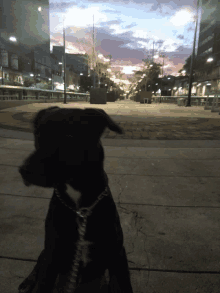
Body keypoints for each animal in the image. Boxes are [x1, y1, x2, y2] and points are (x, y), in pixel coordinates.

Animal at [18, 107, 133, 292]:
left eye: (69, 136)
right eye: (37, 134)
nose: (24, 171)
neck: (80, 209)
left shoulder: (117, 252)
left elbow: (124, 283)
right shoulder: (52, 252)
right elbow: (43, 279)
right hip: (46, 252)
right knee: (38, 262)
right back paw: (29, 281)